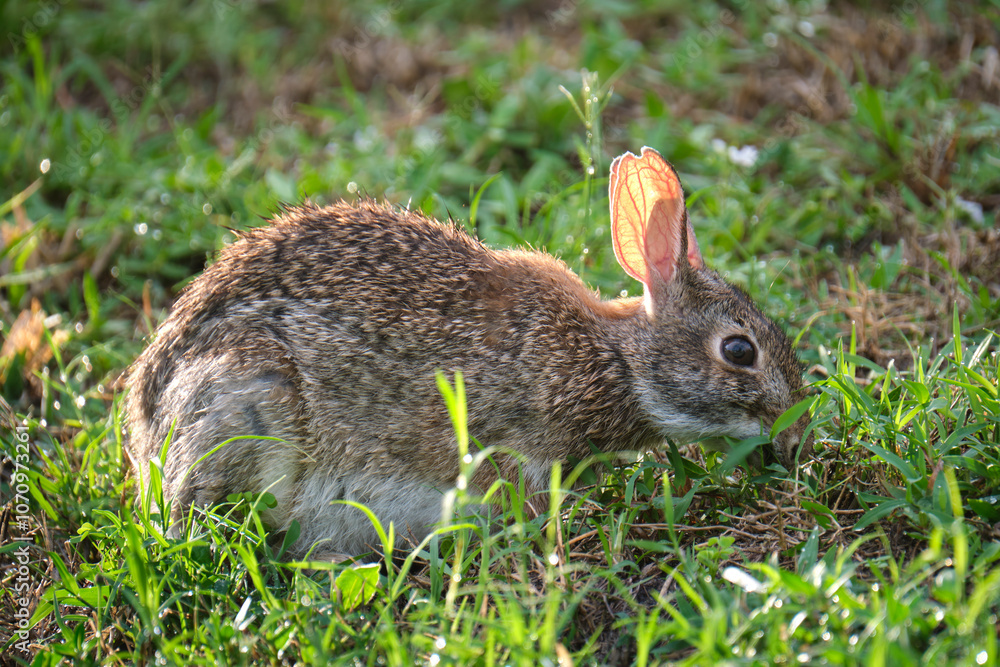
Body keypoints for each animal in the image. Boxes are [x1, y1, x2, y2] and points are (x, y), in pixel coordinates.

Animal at [125, 146, 812, 558]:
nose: (792, 437)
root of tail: (145, 437)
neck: (614, 359)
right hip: (250, 403)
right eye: (739, 350)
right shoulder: (507, 446)